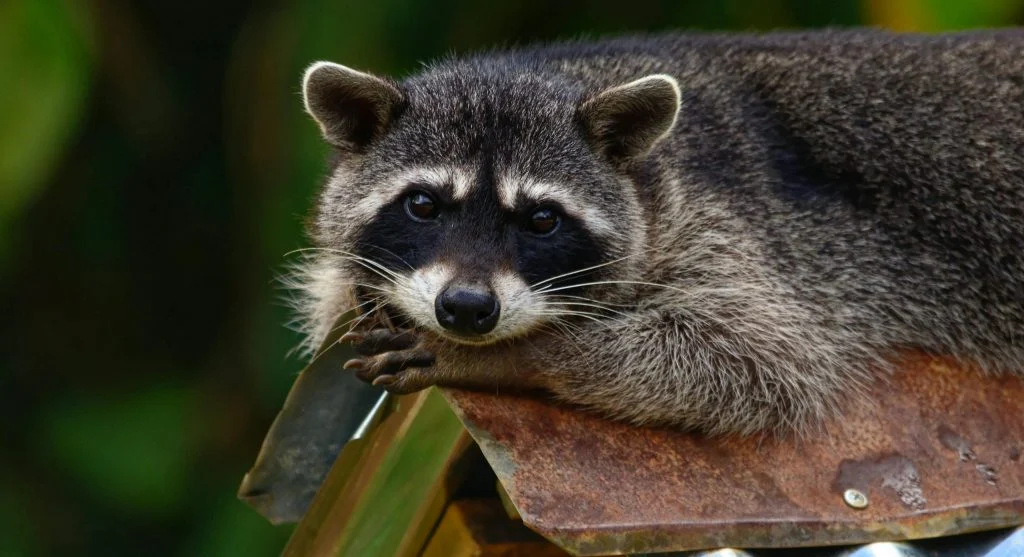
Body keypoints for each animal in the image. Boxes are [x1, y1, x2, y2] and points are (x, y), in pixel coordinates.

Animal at [292, 29, 1024, 435]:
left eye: (542, 219)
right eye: (423, 205)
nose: (467, 310)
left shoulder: (739, 231)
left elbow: (757, 359)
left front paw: (520, 356)